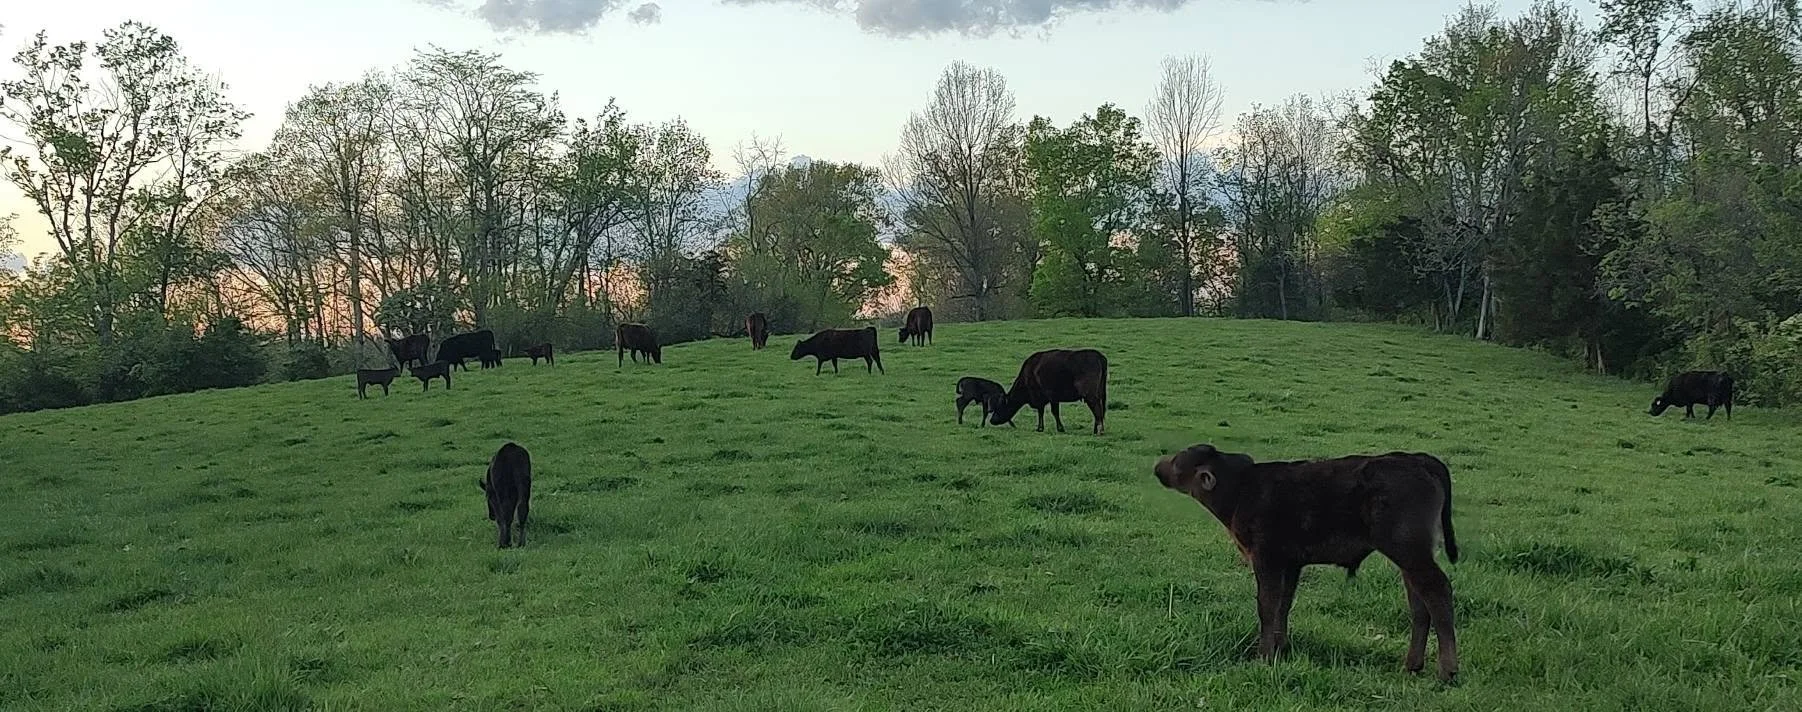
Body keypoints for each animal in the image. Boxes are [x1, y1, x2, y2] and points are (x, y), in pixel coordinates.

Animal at [1153, 444, 1460, 682]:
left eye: (1178, 461)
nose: (1158, 466)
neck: (1242, 488)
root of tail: (1416, 458)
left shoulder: (1266, 559)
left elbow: (1267, 606)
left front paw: (1264, 655)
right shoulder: (1290, 564)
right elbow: (1283, 605)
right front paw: (1281, 647)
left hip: (1409, 551)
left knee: (1438, 592)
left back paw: (1447, 671)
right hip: (1410, 557)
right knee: (1419, 603)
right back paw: (1412, 665)